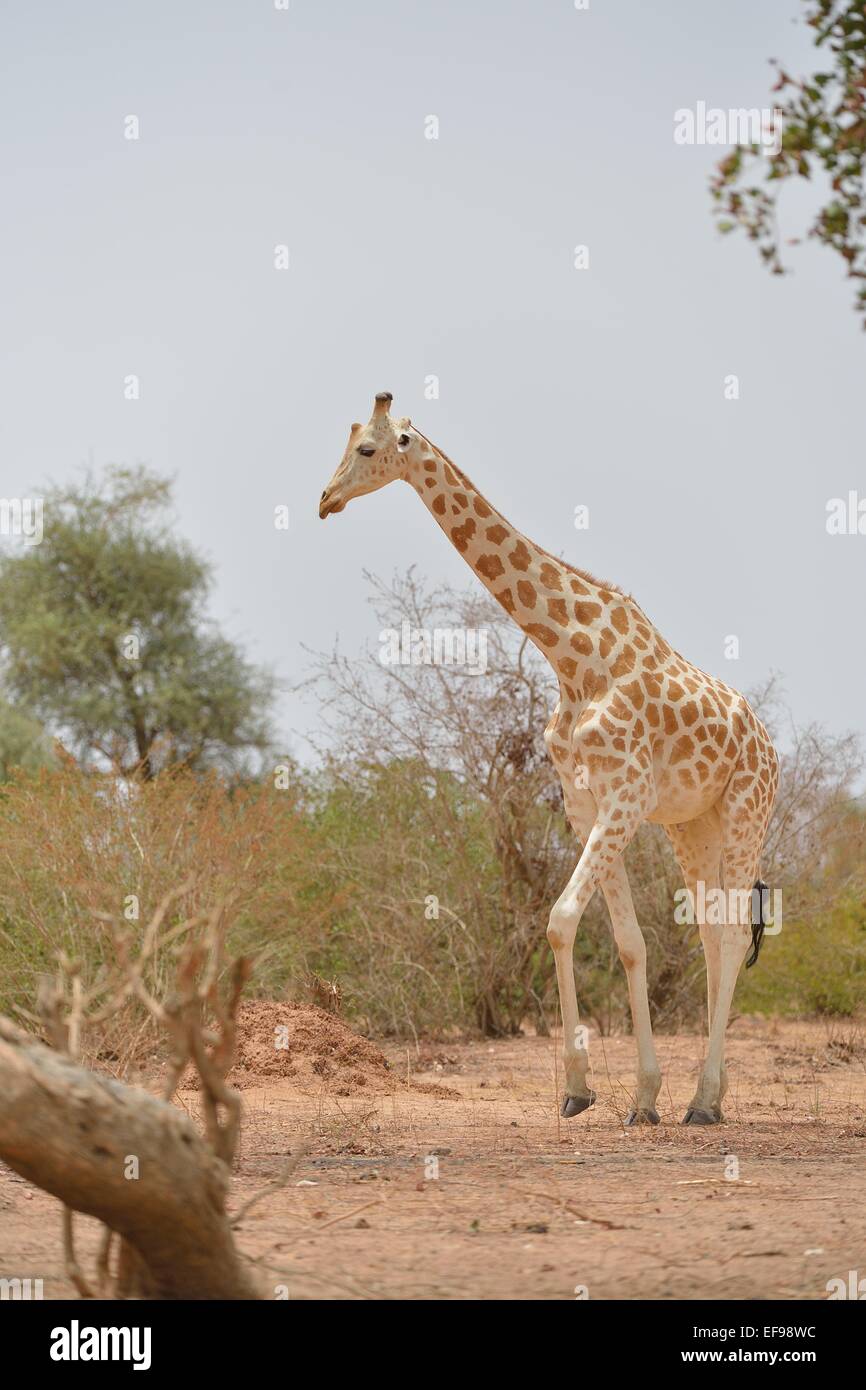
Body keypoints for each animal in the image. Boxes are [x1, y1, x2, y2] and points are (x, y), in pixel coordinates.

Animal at [319, 392, 779, 1125]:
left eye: (368, 449)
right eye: (347, 442)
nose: (325, 499)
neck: (573, 655)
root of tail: (768, 744)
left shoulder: (623, 799)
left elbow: (561, 921)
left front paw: (589, 1087)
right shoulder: (587, 803)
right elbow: (628, 944)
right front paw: (628, 1096)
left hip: (745, 813)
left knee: (733, 936)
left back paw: (707, 1103)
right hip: (692, 826)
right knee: (712, 933)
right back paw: (705, 1096)